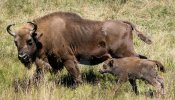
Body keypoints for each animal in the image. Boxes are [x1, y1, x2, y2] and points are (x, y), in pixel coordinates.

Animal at [6, 11, 152, 84]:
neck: (43, 34)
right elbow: (38, 75)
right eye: (15, 42)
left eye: (29, 40)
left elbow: (75, 74)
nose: (22, 56)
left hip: (124, 53)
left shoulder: (68, 59)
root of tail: (125, 23)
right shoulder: (49, 63)